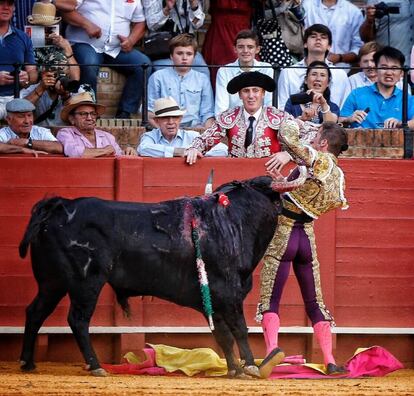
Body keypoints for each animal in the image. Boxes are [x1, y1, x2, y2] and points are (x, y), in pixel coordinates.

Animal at [17, 176, 280, 378]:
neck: (231, 222)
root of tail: (60, 205)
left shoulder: (214, 301)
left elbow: (223, 334)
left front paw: (234, 369)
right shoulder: (229, 293)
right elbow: (239, 329)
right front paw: (250, 367)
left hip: (52, 282)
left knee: (35, 312)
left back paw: (27, 363)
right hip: (86, 281)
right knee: (78, 319)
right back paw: (96, 366)